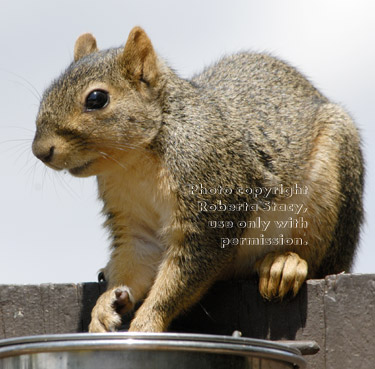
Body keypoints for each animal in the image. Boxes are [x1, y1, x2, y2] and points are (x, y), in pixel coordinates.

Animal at [32, 25, 364, 330]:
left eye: (97, 99)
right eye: (47, 92)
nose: (40, 150)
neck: (135, 162)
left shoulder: (209, 202)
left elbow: (182, 277)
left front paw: (146, 324)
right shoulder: (133, 219)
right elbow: (137, 258)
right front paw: (103, 307)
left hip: (329, 194)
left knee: (320, 260)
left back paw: (284, 264)